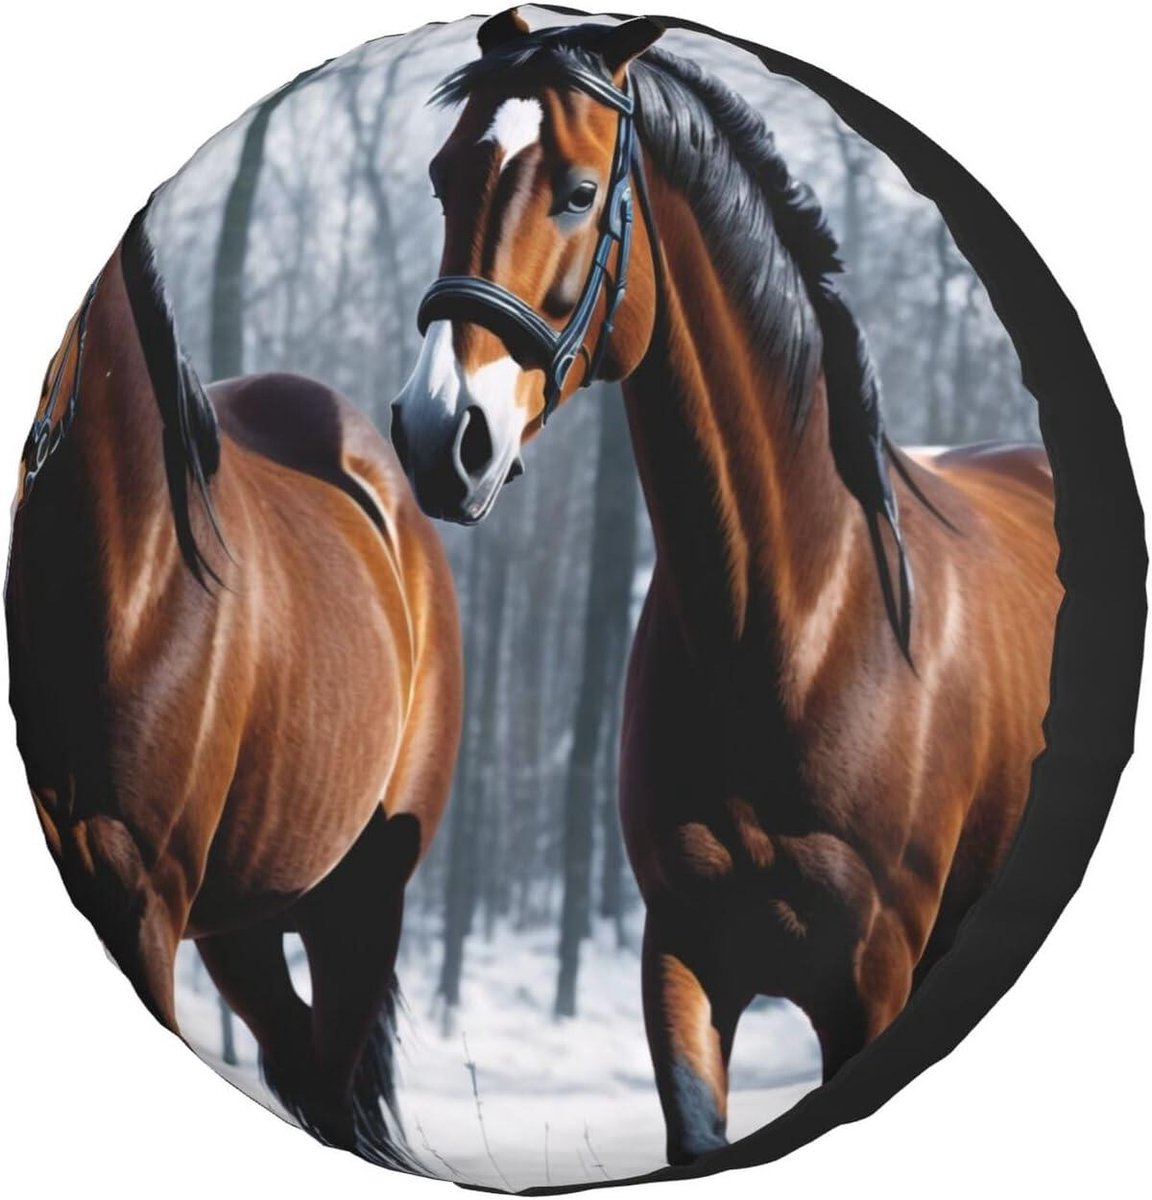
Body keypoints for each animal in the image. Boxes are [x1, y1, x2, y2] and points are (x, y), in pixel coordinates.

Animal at [390, 11, 1061, 1167]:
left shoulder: (868, 983)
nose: (441, 437)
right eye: (443, 179)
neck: (793, 626)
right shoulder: (686, 959)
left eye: (578, 191)